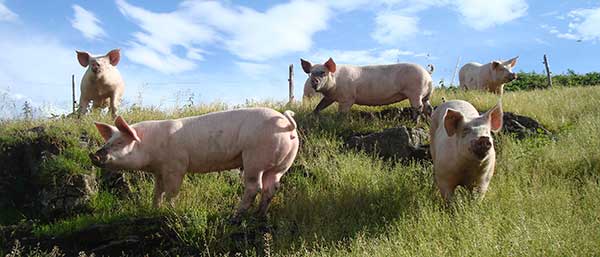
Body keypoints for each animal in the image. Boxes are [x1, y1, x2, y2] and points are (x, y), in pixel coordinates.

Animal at [89, 107, 300, 221]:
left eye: (119, 142)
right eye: (108, 141)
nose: (94, 155)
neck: (151, 145)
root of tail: (286, 124)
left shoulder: (176, 166)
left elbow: (171, 192)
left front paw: (171, 211)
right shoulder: (159, 170)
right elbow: (157, 191)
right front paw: (154, 210)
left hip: (254, 158)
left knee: (254, 186)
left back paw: (235, 216)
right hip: (282, 164)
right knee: (272, 186)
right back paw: (260, 215)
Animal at [302, 57, 434, 121]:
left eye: (323, 73)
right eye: (311, 73)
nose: (314, 81)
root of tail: (427, 74)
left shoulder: (347, 98)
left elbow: (342, 113)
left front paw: (339, 121)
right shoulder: (330, 97)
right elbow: (319, 106)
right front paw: (311, 115)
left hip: (415, 92)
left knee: (418, 108)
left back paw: (414, 122)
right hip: (425, 95)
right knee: (428, 108)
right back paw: (428, 120)